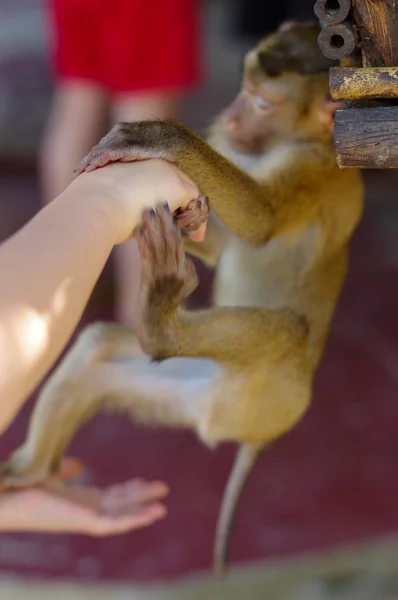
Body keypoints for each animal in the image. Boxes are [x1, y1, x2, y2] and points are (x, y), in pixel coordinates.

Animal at [0, 22, 364, 576]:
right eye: (244, 90)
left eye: (262, 102)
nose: (230, 117)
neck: (300, 140)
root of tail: (258, 437)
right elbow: (221, 244)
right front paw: (189, 214)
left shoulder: (314, 169)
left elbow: (261, 223)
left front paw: (158, 137)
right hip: (199, 396)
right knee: (99, 351)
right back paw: (30, 475)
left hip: (269, 398)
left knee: (288, 330)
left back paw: (161, 328)